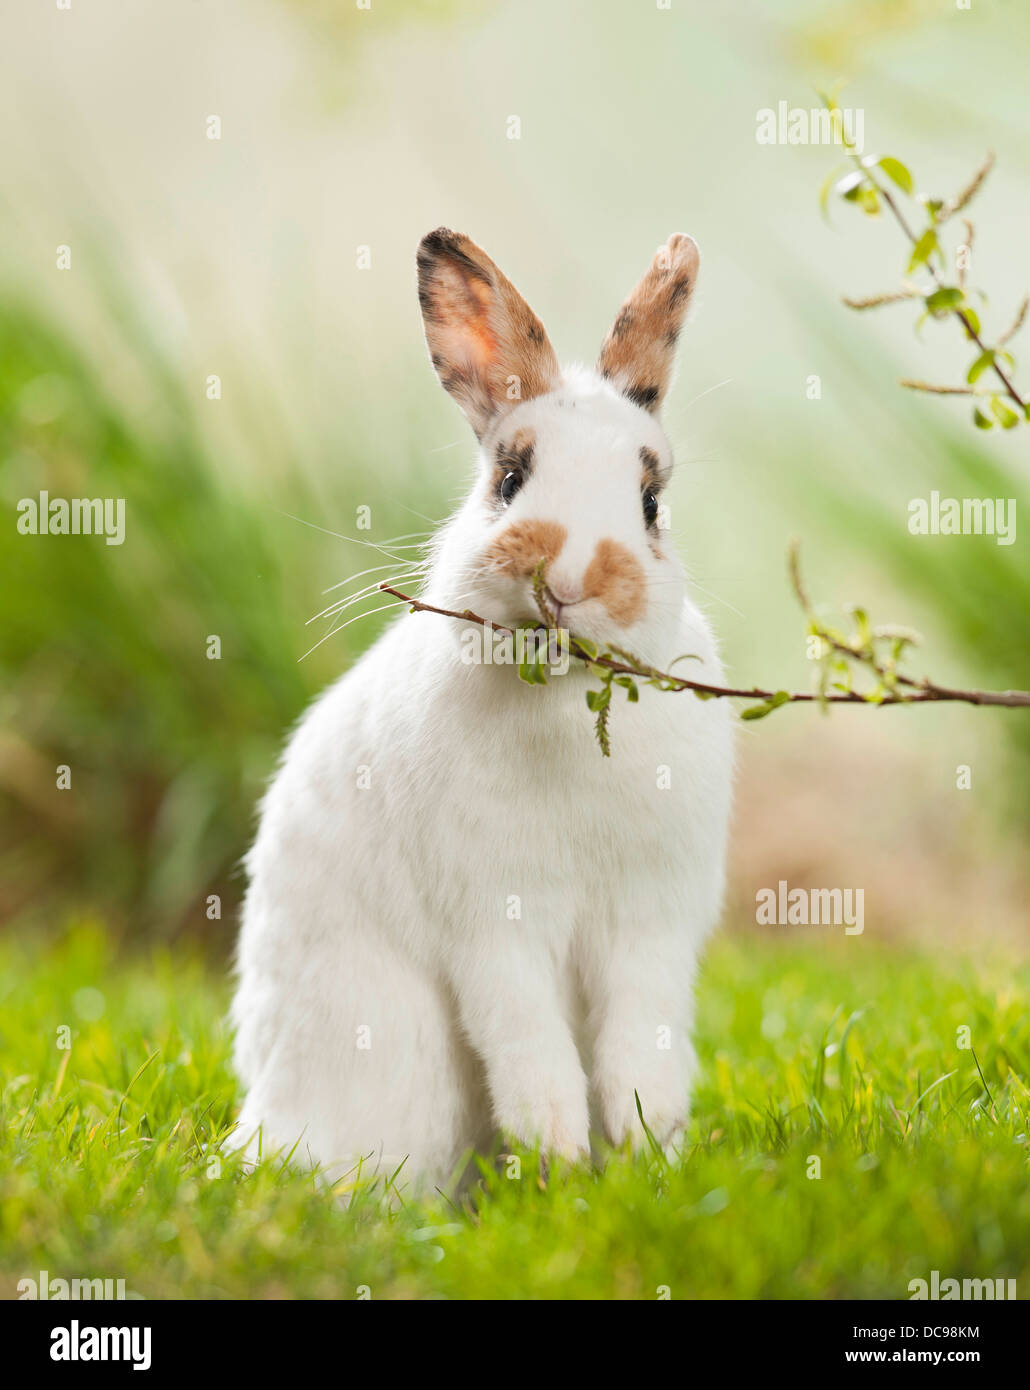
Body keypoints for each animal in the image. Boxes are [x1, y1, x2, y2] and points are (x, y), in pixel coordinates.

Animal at [229, 228, 734, 1191]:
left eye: (650, 503)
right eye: (510, 477)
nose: (568, 578)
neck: (565, 699)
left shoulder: (648, 922)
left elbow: (638, 1055)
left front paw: (648, 1161)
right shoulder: (495, 923)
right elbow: (534, 1056)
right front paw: (564, 1171)